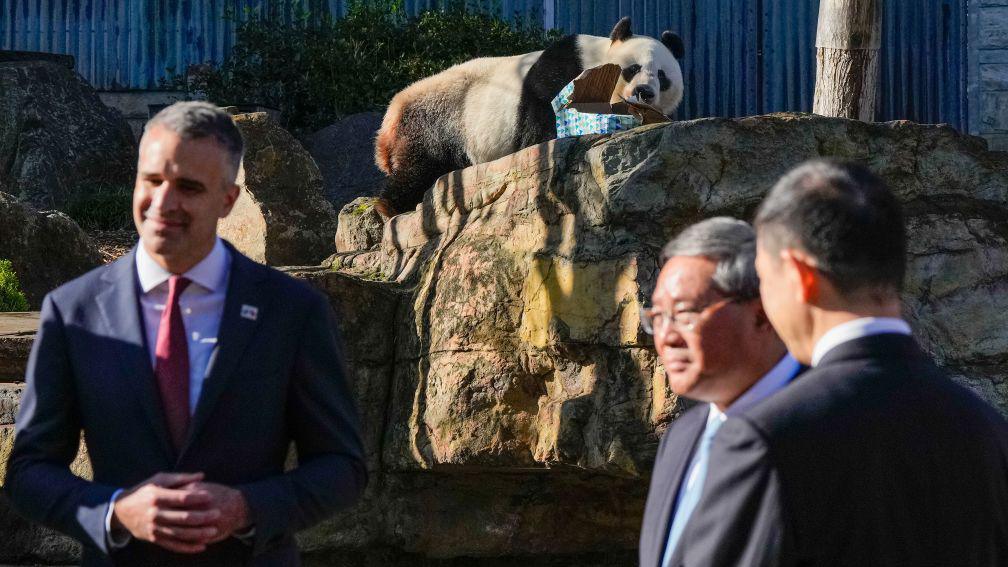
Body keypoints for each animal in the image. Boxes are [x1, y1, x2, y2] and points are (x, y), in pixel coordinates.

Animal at [374, 17, 689, 213]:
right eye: (633, 68)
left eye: (663, 77)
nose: (645, 93)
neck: (599, 59)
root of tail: (390, 119)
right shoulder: (565, 65)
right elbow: (540, 112)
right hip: (439, 116)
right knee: (421, 163)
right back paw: (390, 206)